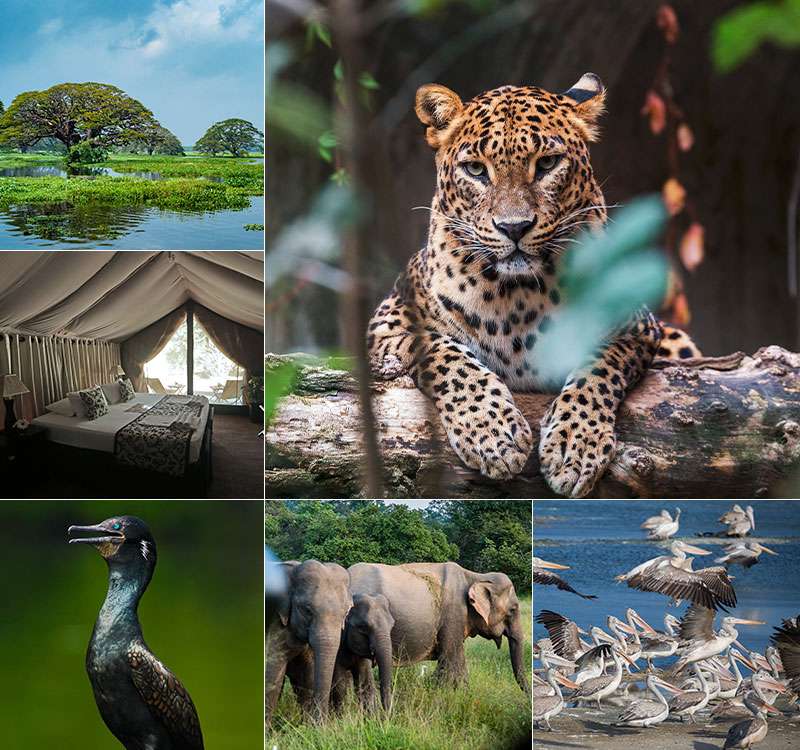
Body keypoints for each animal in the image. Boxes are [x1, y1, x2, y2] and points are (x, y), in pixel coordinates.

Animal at [264, 560, 352, 728]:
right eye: (307, 610)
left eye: (346, 613)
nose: (322, 725)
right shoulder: (275, 621)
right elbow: (272, 674)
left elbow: (306, 677)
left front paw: (306, 727)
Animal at [346, 560, 528, 696]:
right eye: (513, 609)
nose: (526, 697)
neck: (477, 576)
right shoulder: (453, 615)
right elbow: (449, 659)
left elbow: (459, 659)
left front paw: (465, 695)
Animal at [366, 73, 696, 496]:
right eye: (476, 170)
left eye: (547, 164)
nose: (514, 227)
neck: (516, 294)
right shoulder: (386, 326)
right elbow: (446, 354)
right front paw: (492, 434)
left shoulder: (636, 327)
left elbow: (598, 367)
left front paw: (575, 446)